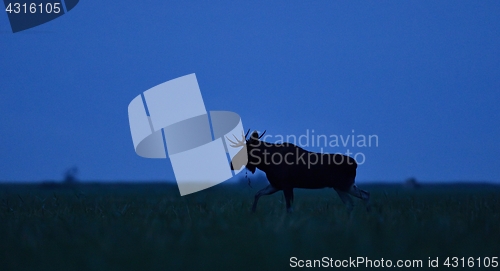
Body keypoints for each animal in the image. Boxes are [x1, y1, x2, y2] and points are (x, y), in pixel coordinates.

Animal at [229, 131, 370, 214]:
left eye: (246, 149)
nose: (231, 164)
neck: (266, 162)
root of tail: (355, 164)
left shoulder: (286, 184)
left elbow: (289, 208)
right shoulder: (276, 185)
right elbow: (257, 194)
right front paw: (252, 212)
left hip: (345, 184)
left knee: (364, 195)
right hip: (340, 187)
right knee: (351, 203)